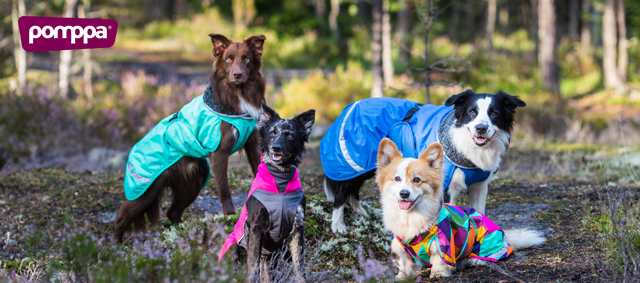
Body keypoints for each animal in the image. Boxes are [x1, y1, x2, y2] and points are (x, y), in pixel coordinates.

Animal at [114, 32, 266, 242]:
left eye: (247, 59)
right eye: (228, 59)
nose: (237, 75)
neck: (236, 95)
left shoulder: (252, 143)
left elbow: (258, 172)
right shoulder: (220, 150)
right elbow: (224, 189)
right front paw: (230, 215)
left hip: (193, 182)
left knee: (172, 212)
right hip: (145, 189)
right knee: (121, 217)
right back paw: (115, 246)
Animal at [218, 103, 316, 282]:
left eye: (289, 135)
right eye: (272, 133)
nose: (276, 148)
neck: (280, 183)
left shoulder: (297, 228)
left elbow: (300, 267)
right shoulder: (256, 228)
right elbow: (253, 267)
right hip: (234, 248)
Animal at [320, 90, 524, 234]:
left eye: (494, 114)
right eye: (472, 112)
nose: (481, 128)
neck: (465, 145)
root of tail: (349, 107)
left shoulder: (479, 186)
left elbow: (479, 213)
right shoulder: (446, 188)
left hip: (368, 164)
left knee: (354, 189)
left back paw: (361, 212)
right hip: (354, 161)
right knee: (341, 192)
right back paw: (338, 224)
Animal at [376, 139, 544, 280]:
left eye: (417, 180)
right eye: (397, 179)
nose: (404, 194)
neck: (410, 217)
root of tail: (505, 239)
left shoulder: (443, 244)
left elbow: (439, 261)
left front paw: (438, 273)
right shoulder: (401, 246)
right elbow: (405, 263)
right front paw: (402, 276)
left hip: (485, 243)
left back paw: (470, 261)